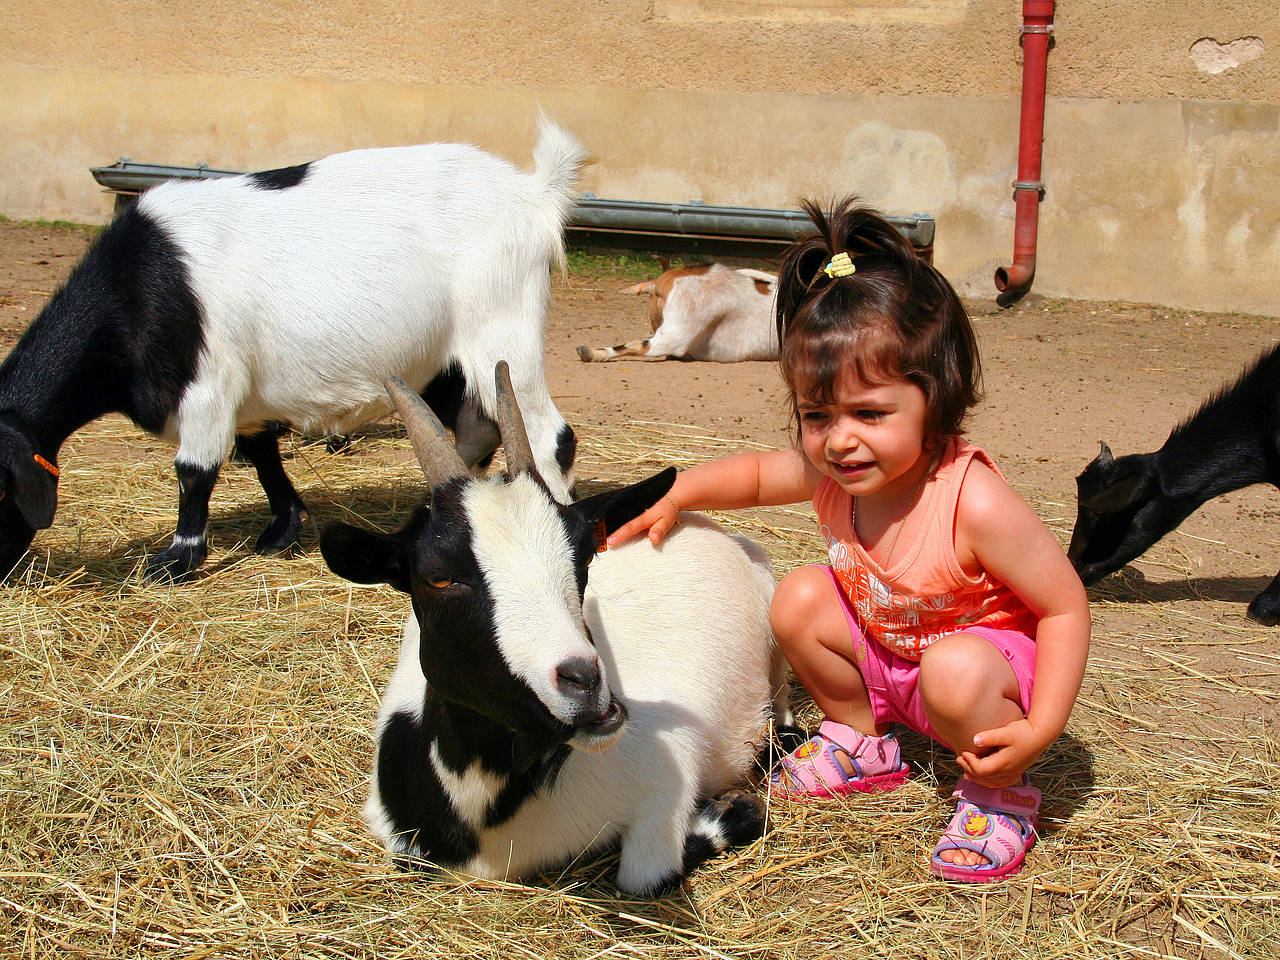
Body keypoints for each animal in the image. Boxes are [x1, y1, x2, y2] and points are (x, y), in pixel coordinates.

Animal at [0, 120, 586, 586]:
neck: (137, 289)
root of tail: (533, 194)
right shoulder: (245, 396)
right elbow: (262, 454)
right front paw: (282, 530)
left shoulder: (210, 384)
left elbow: (195, 471)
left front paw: (175, 562)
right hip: (444, 362)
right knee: (475, 429)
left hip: (500, 329)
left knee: (548, 435)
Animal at [320, 363, 788, 901]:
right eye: (437, 577)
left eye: (583, 554)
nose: (587, 685)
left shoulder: (666, 778)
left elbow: (642, 876)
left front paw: (732, 811)